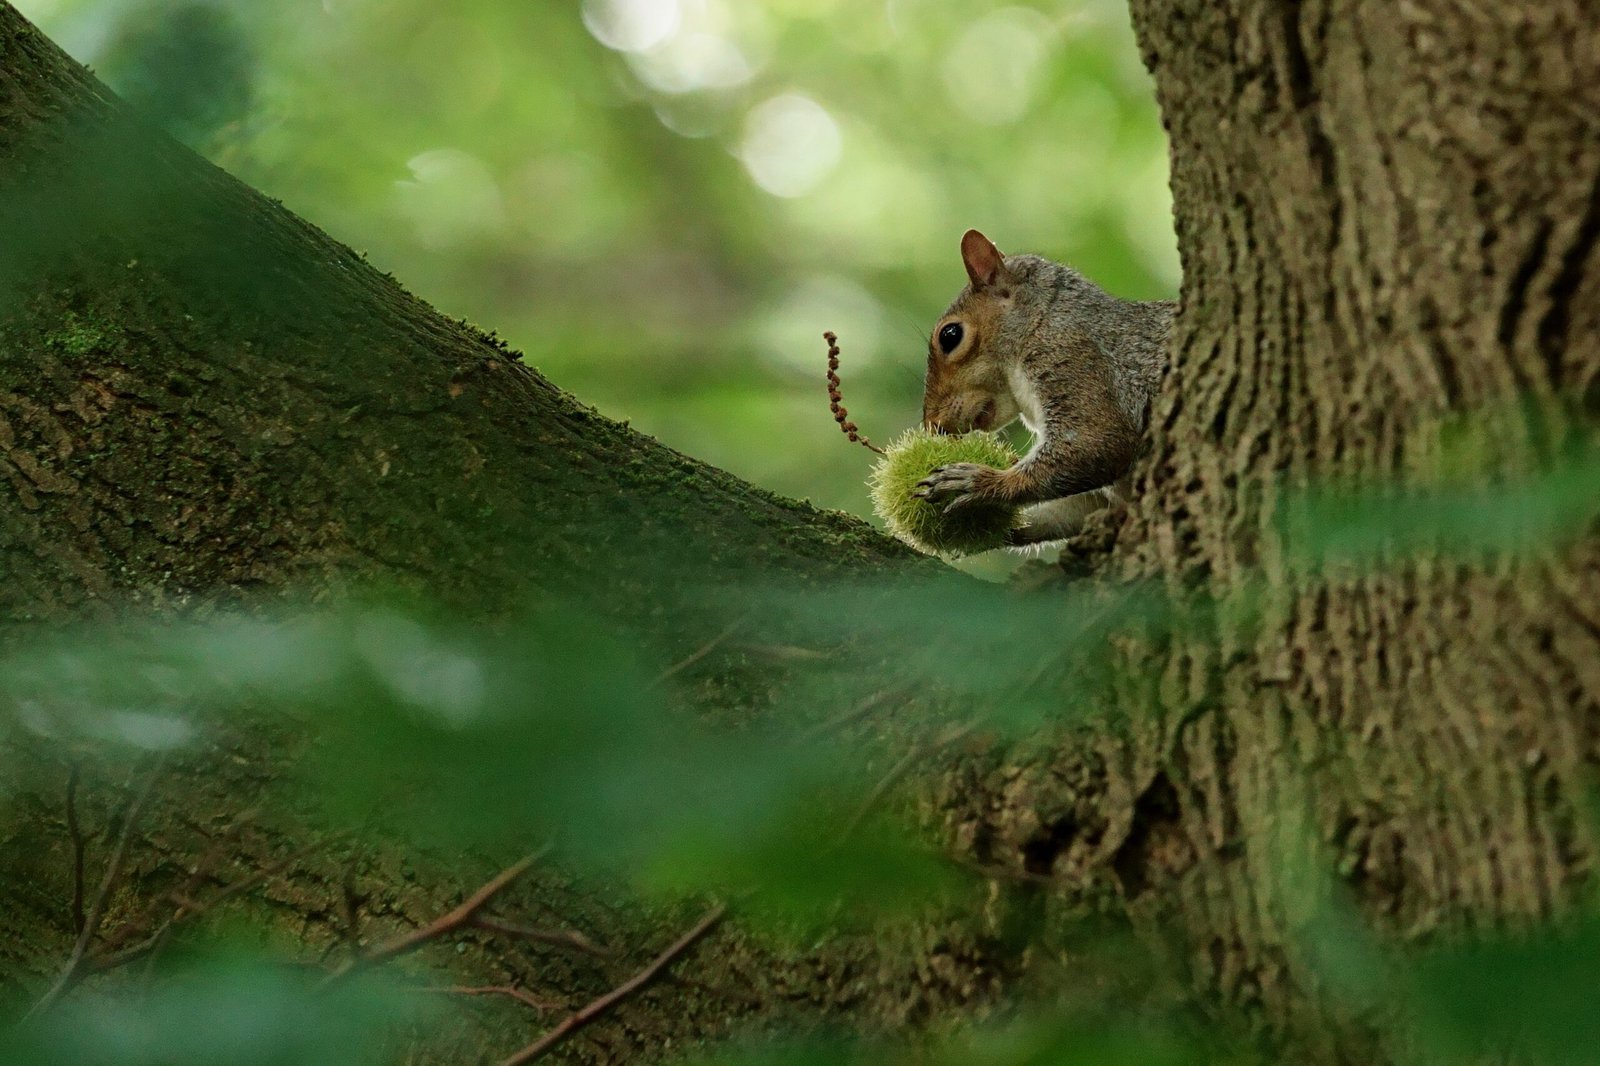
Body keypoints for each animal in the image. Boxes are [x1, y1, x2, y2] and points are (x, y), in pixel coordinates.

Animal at [914, 229, 1174, 548]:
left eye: (950, 335)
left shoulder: (1075, 358)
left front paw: (977, 483)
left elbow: (1098, 441)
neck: (1038, 322)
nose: (932, 425)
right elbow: (1074, 511)